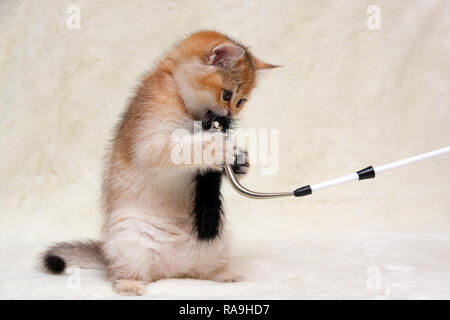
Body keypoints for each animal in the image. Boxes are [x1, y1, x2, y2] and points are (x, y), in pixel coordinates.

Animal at [42, 30, 276, 296]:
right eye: (227, 94)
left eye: (241, 102)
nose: (230, 115)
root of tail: (171, 269)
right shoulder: (151, 144)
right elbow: (185, 148)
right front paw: (219, 146)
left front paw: (241, 161)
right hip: (128, 238)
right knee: (121, 272)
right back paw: (130, 285)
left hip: (219, 240)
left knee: (205, 271)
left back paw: (225, 276)